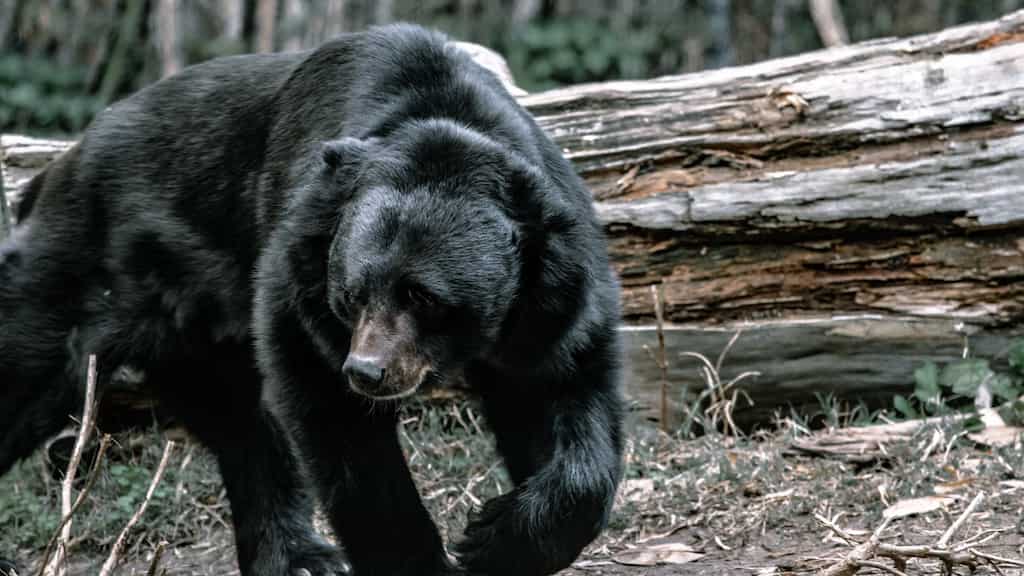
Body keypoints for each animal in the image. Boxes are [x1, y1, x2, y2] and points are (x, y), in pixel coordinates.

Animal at [0, 23, 625, 576]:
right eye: (352, 293)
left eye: (423, 296)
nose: (368, 371)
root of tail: (58, 166)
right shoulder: (300, 276)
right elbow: (339, 426)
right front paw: (425, 560)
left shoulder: (552, 298)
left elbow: (565, 395)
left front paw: (497, 537)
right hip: (84, 269)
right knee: (29, 365)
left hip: (193, 329)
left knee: (241, 426)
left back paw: (298, 557)